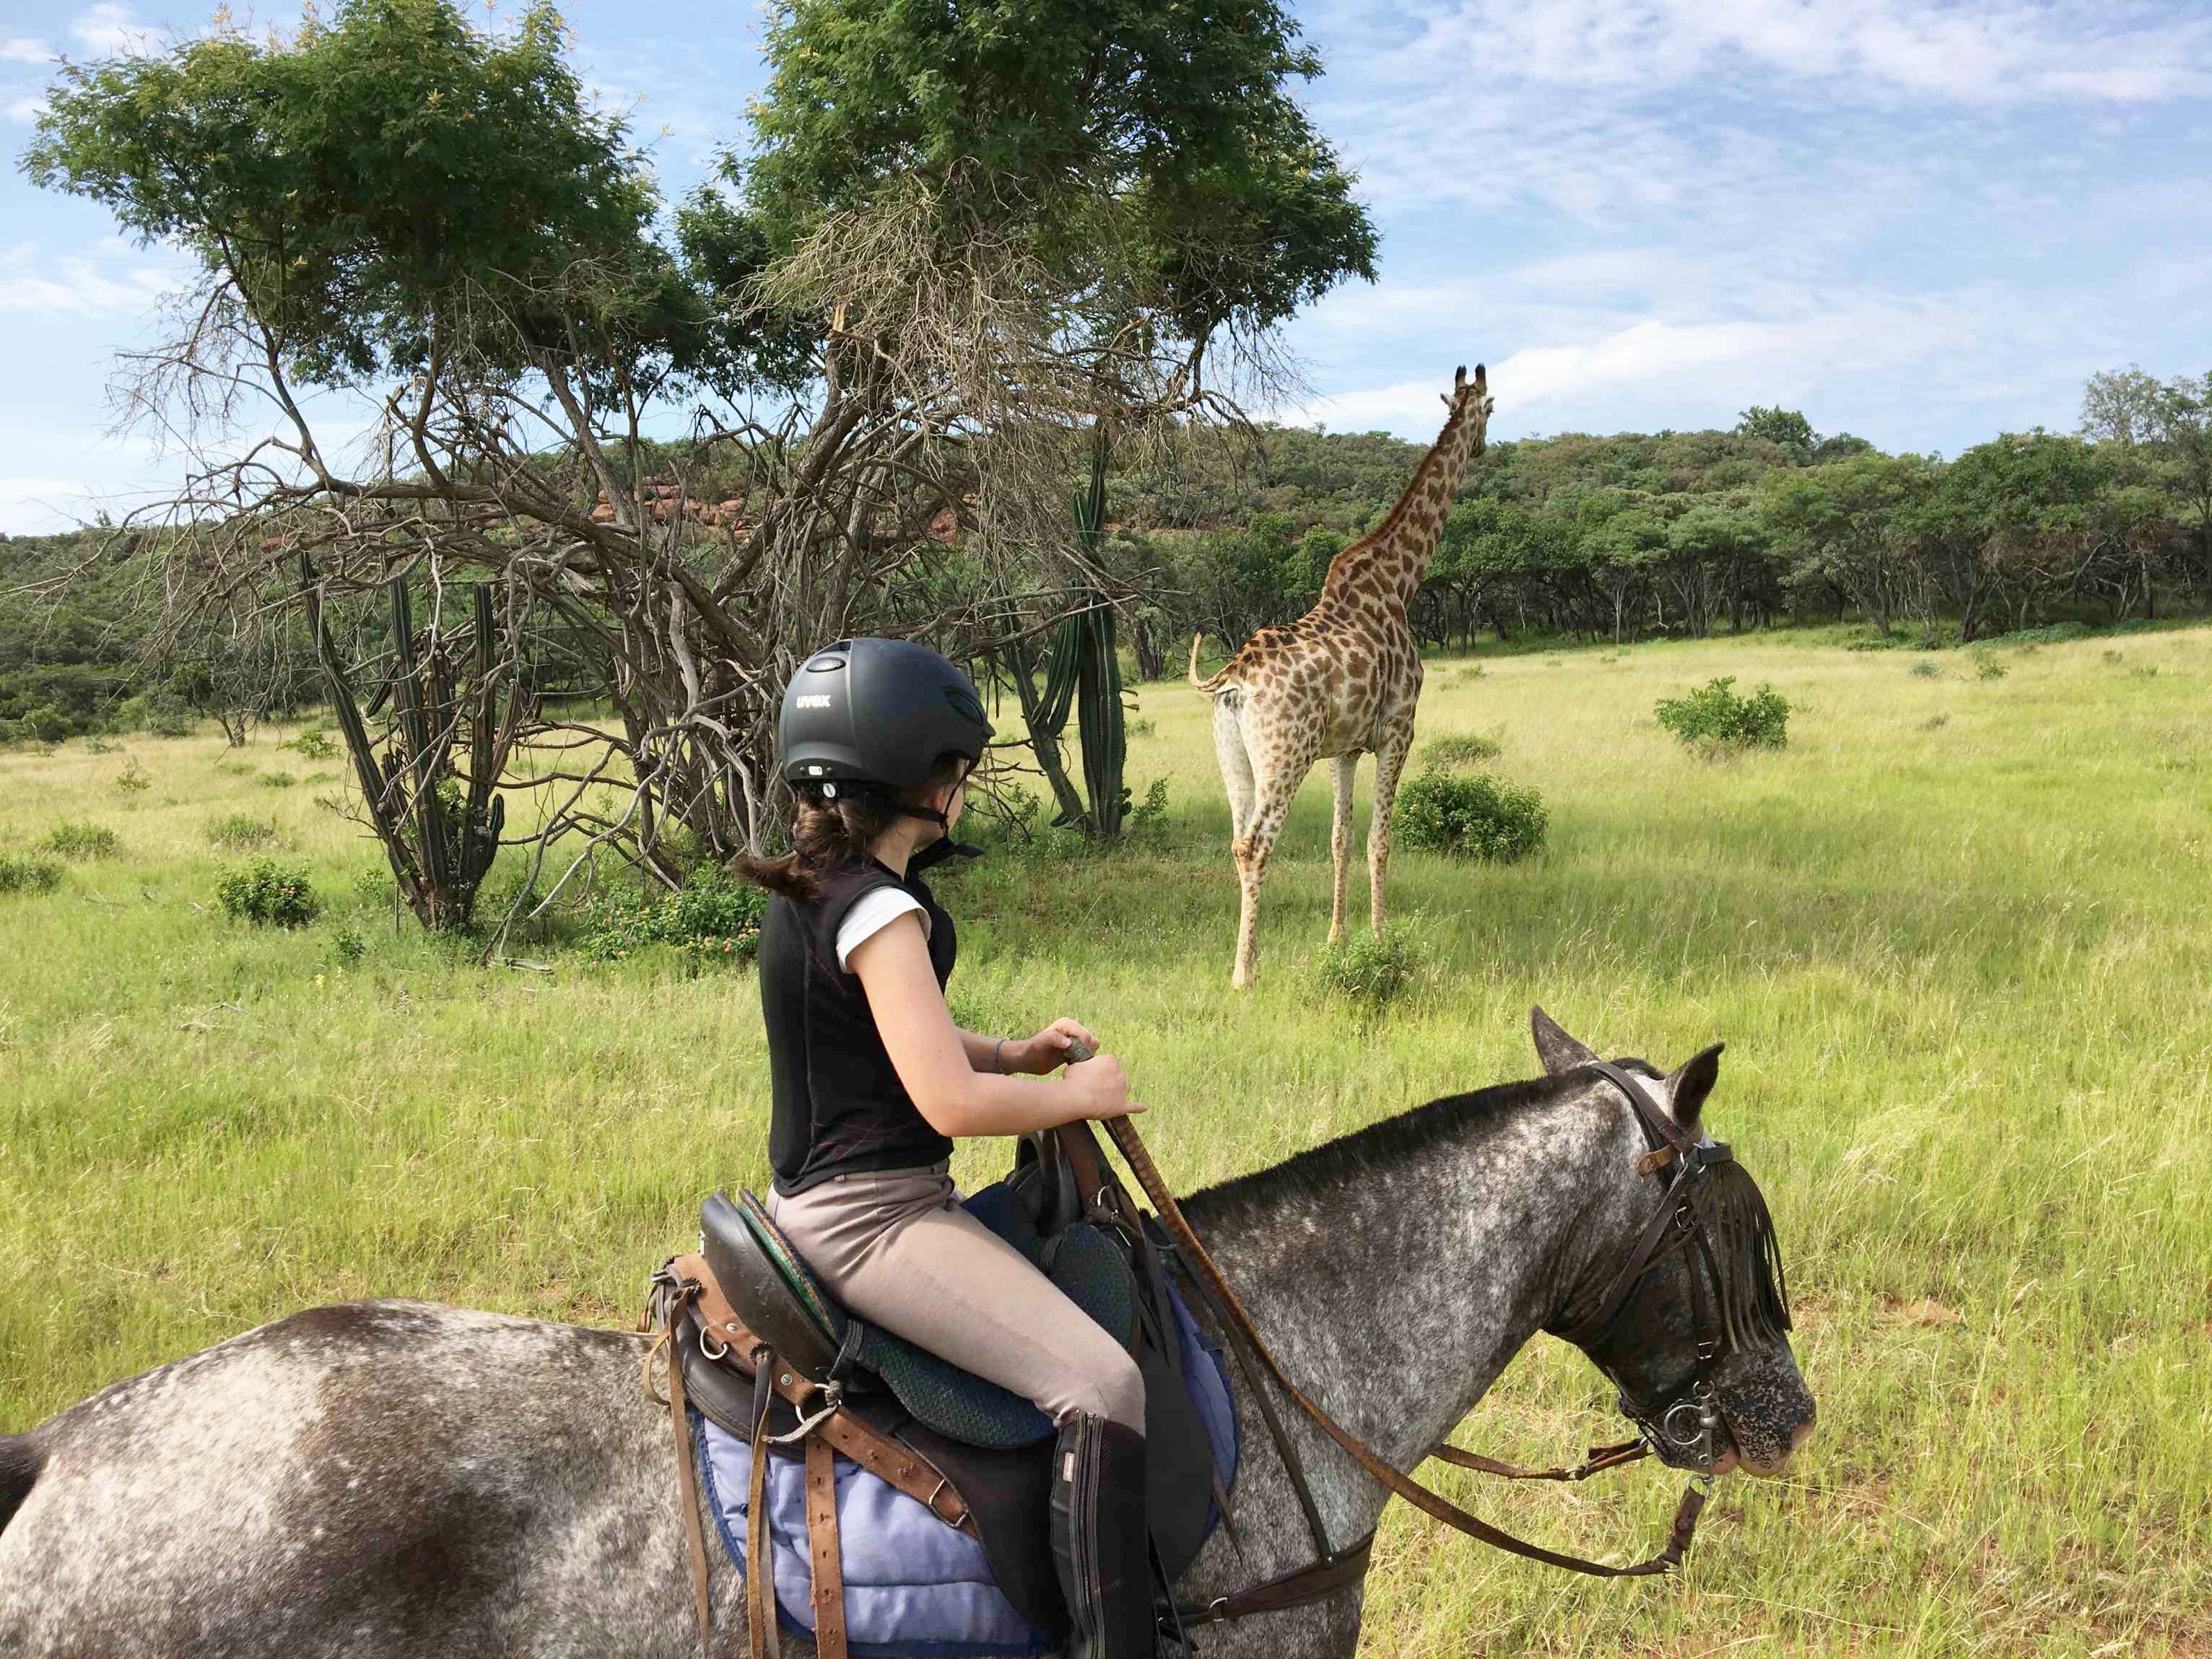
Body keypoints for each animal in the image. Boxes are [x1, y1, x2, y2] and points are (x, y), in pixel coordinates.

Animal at [1194, 362, 1486, 986]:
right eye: (1490, 411)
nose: (1482, 446)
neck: (1402, 581)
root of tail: (1233, 678)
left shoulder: (1346, 748)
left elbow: (1340, 838)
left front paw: (1337, 937)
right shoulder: (1400, 728)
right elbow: (1379, 839)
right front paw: (1380, 938)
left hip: (1234, 754)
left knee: (1235, 841)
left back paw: (1245, 959)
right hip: (1287, 753)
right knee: (1257, 845)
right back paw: (1245, 973)